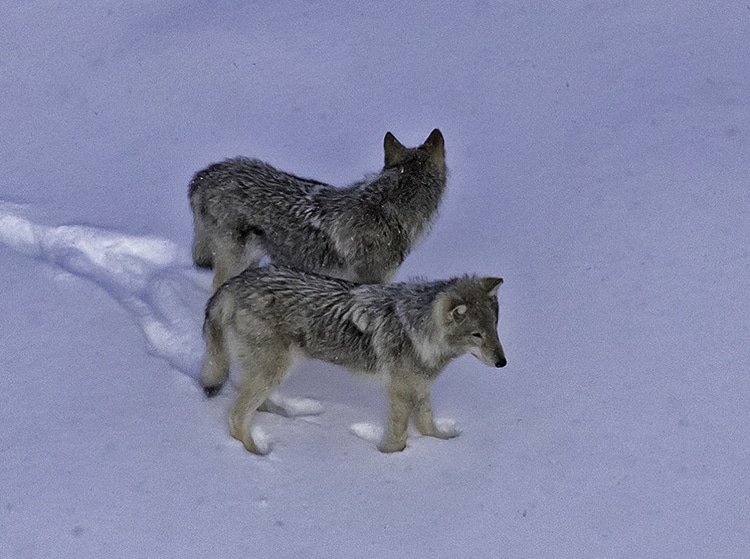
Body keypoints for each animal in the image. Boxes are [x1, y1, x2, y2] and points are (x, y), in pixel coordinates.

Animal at [199, 265, 506, 454]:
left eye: (494, 328)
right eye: (477, 335)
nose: (502, 363)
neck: (418, 329)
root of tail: (231, 284)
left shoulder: (420, 388)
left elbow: (428, 425)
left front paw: (446, 443)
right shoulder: (399, 392)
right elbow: (399, 437)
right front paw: (391, 458)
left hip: (272, 372)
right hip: (272, 370)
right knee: (237, 417)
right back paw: (256, 454)